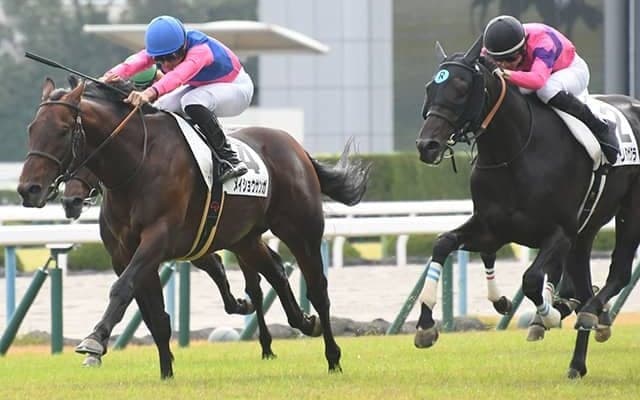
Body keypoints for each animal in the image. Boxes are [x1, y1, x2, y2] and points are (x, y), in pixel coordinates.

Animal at [59, 165, 279, 361]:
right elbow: (146, 310)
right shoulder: (123, 261)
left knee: (256, 285)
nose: (71, 201)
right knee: (230, 269)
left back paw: (265, 342)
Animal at [414, 36, 640, 379]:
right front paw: (426, 326)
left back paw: (589, 315)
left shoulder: (560, 233)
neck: (514, 152)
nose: (427, 146)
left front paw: (547, 315)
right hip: (586, 231)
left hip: (629, 211)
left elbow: (532, 279)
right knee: (584, 286)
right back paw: (578, 360)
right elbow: (442, 243)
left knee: (619, 273)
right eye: (430, 87)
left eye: (461, 87)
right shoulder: (492, 228)